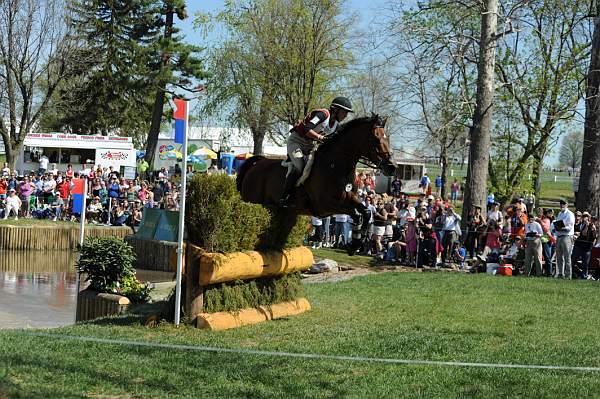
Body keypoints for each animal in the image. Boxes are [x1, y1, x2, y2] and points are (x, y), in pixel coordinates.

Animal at [236, 114, 398, 255]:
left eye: (387, 138)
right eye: (375, 138)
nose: (392, 167)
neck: (335, 165)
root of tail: (258, 163)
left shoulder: (350, 198)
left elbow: (365, 212)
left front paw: (357, 242)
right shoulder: (326, 204)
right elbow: (357, 215)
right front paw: (354, 244)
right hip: (253, 201)